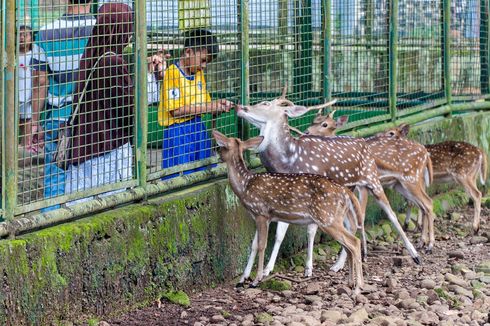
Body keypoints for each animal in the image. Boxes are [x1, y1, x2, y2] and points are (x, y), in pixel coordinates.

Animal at [212, 131, 366, 296]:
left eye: (223, 145)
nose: (217, 152)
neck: (245, 186)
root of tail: (346, 192)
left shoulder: (261, 213)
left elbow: (261, 246)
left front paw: (256, 280)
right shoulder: (259, 216)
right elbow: (253, 245)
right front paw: (242, 279)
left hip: (328, 218)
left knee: (354, 242)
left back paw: (358, 287)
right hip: (335, 217)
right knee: (349, 245)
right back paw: (350, 283)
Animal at [236, 89, 422, 282]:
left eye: (265, 103)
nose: (240, 107)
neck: (287, 160)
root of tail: (364, 142)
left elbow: (310, 230)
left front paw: (308, 268)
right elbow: (279, 233)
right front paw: (263, 271)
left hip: (372, 179)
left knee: (391, 213)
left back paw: (416, 255)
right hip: (350, 189)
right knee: (352, 224)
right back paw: (339, 264)